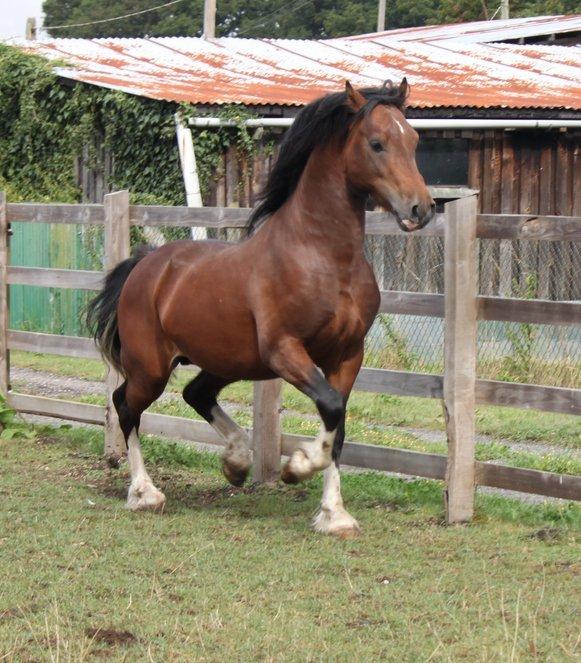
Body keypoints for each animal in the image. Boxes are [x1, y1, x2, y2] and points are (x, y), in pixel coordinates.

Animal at [87, 80, 436, 536]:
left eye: (413, 140)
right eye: (377, 143)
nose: (421, 208)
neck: (323, 258)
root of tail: (145, 265)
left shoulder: (348, 355)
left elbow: (338, 422)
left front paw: (334, 515)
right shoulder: (284, 351)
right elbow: (330, 407)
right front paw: (297, 467)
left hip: (225, 360)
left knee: (195, 394)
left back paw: (236, 462)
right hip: (151, 368)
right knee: (125, 405)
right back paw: (145, 493)